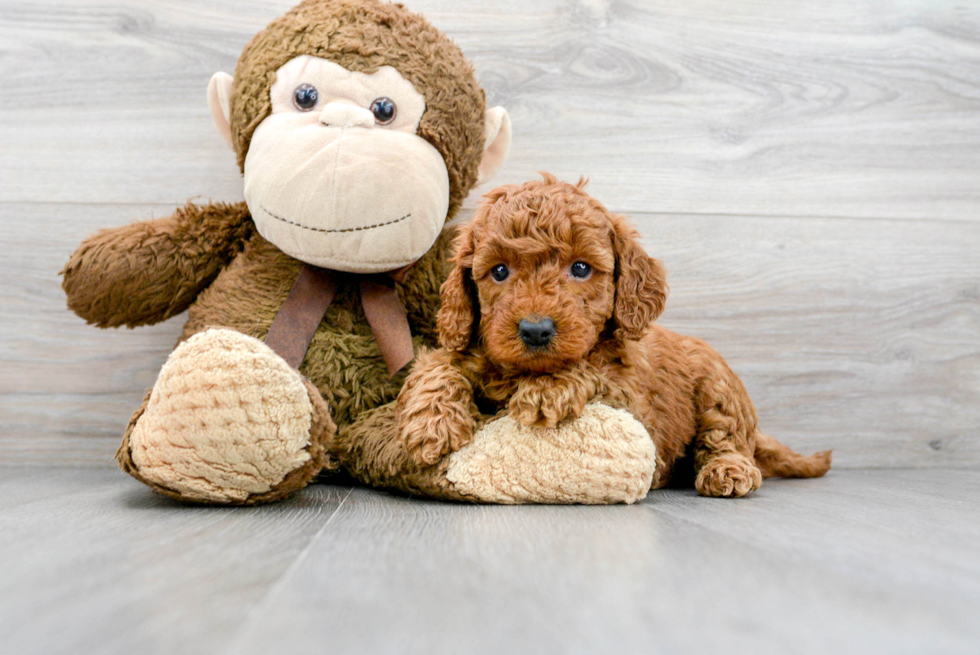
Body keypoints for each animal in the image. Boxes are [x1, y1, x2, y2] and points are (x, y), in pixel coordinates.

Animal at [394, 174, 832, 498]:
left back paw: (728, 470)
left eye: (581, 268)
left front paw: (547, 388)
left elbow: (592, 371)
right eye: (499, 271)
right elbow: (437, 362)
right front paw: (432, 423)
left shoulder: (634, 403)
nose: (535, 330)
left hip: (718, 389)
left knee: (727, 438)